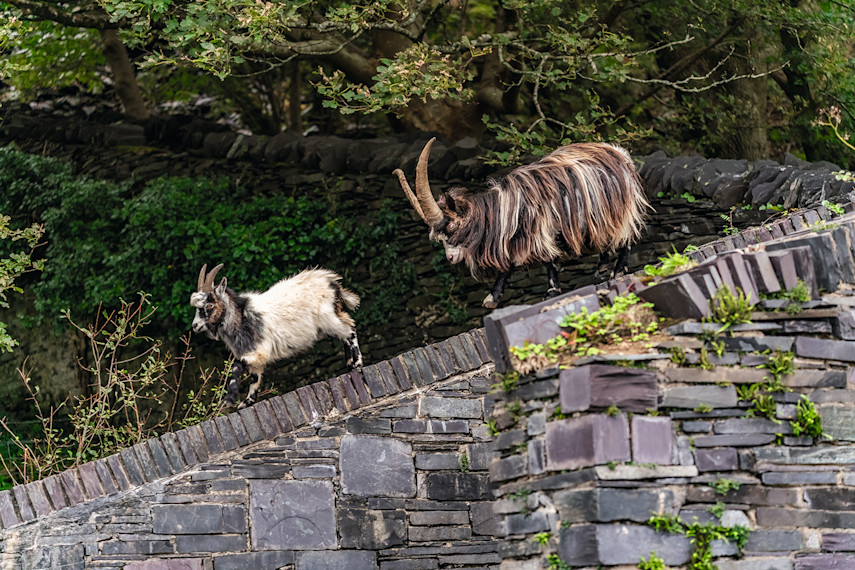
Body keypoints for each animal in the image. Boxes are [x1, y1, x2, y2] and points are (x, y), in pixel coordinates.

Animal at [189, 264, 362, 406]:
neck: (243, 318)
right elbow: (255, 377)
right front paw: (247, 401)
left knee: (350, 331)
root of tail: (331, 281)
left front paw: (230, 399)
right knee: (346, 334)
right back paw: (350, 365)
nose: (195, 326)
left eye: (209, 305)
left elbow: (237, 365)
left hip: (329, 318)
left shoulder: (261, 351)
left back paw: (358, 364)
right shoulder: (253, 354)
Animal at [394, 138, 648, 306]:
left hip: (620, 205)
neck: (505, 209)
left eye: (452, 226)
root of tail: (620, 154)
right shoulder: (518, 238)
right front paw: (492, 298)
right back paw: (603, 264)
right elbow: (510, 264)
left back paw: (617, 271)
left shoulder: (540, 230)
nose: (450, 258)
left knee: (625, 233)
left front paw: (552, 291)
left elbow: (547, 259)